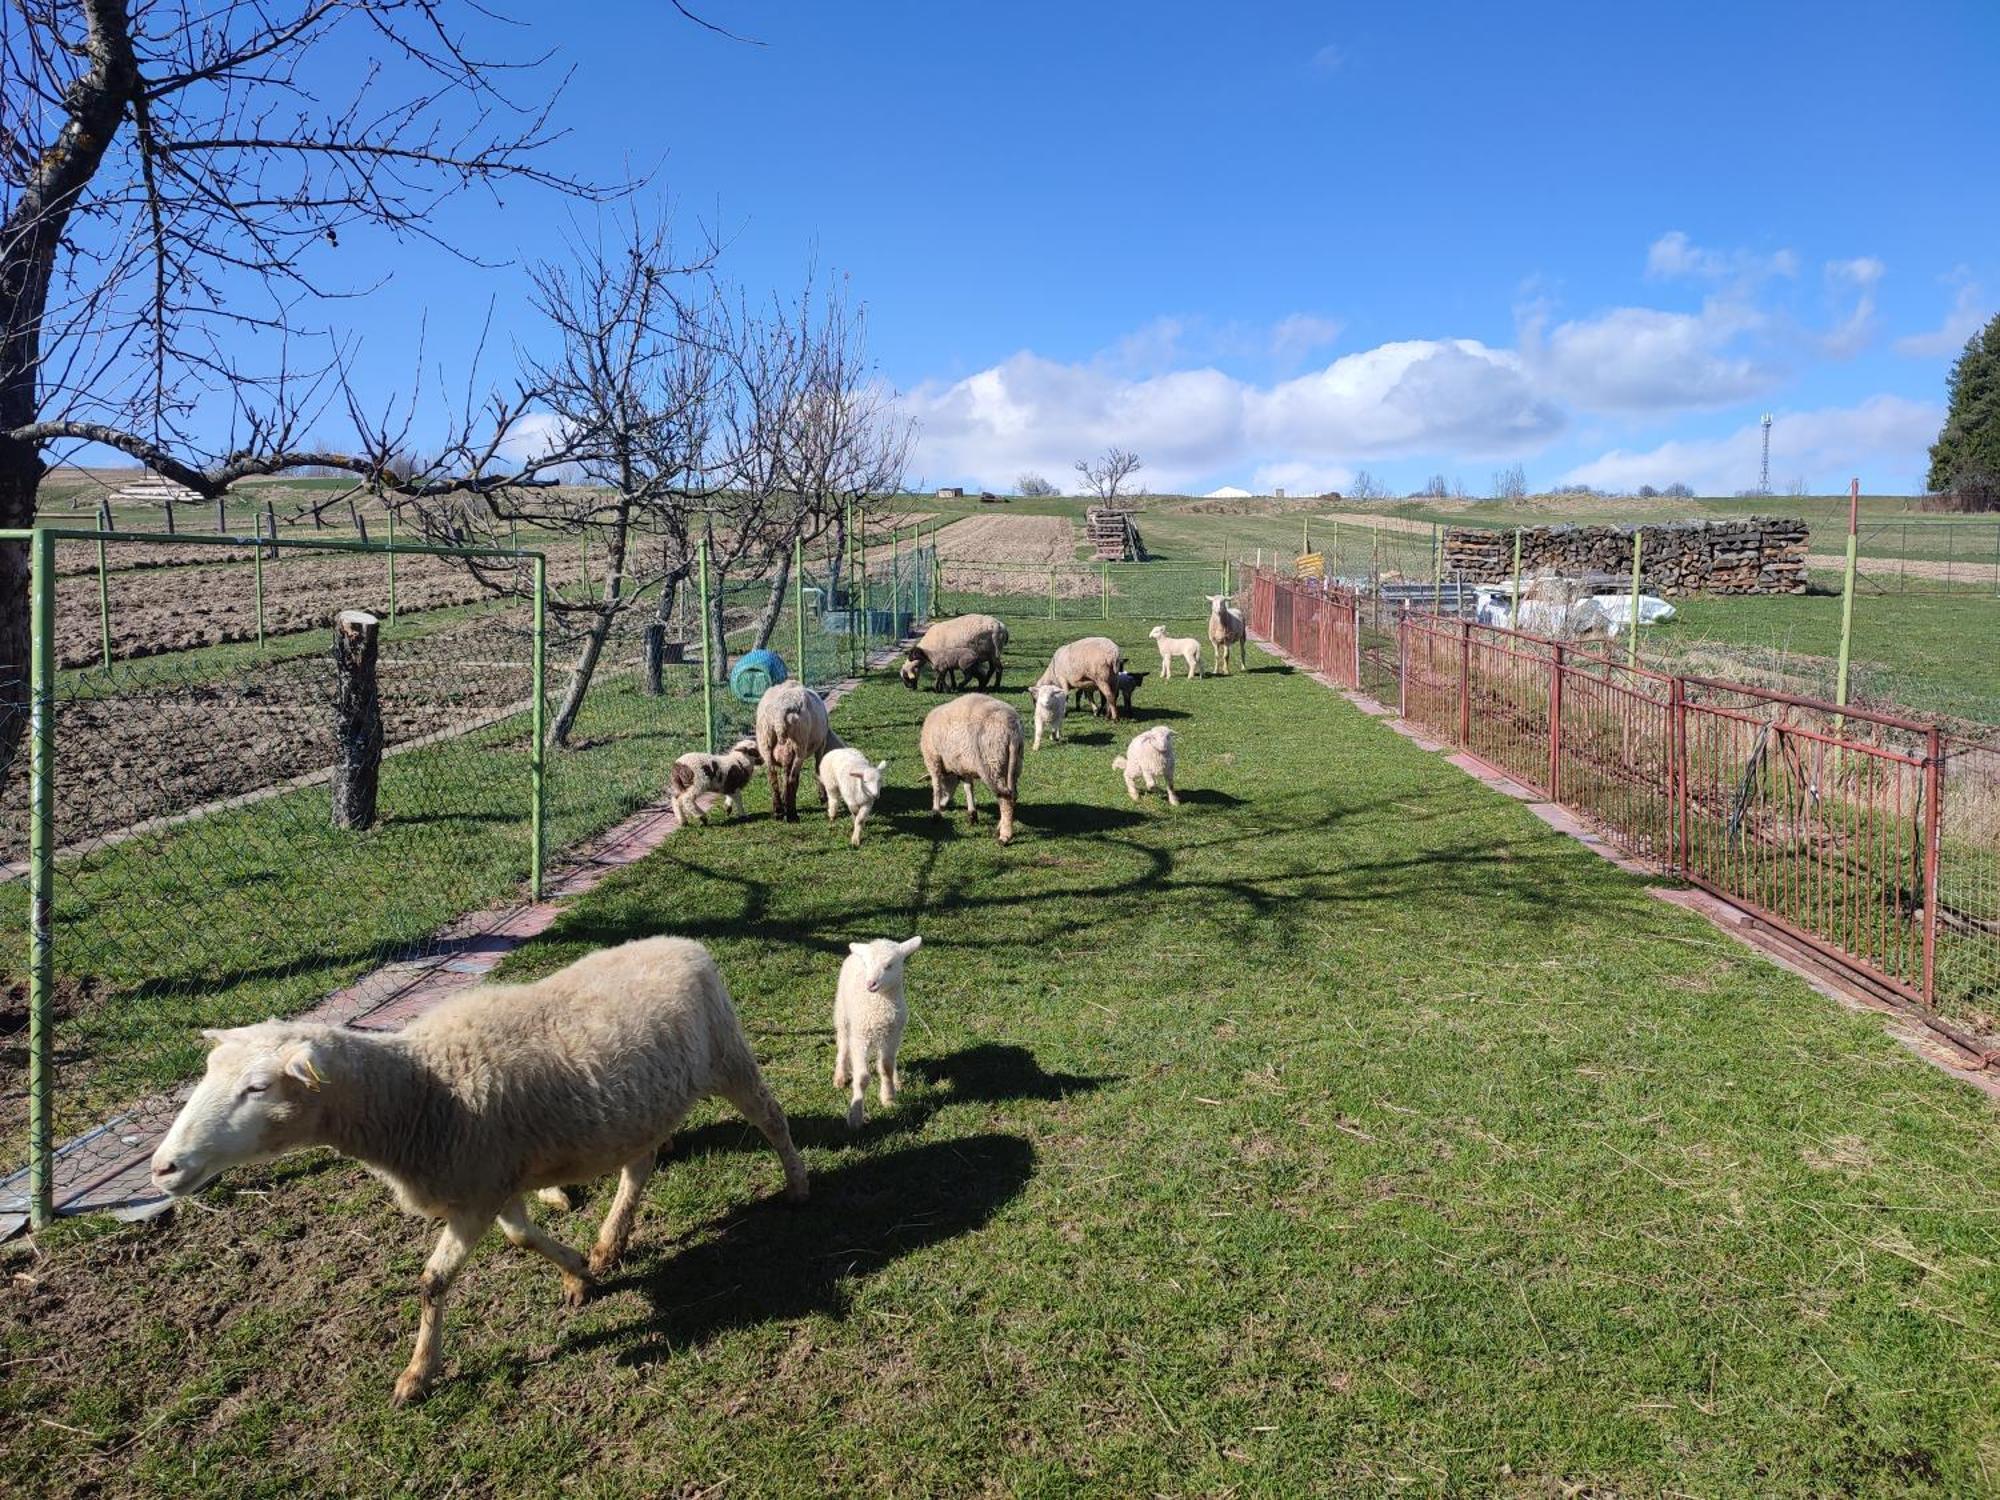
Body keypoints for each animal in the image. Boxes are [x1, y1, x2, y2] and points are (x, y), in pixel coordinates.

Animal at [146, 940, 812, 1408]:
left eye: (258, 1087)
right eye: (208, 1072)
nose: (162, 1168)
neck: (420, 1092)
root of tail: (683, 944)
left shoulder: (477, 1194)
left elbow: (435, 1281)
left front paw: (418, 1374)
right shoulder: (492, 1182)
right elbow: (516, 1239)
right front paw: (578, 1272)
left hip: (727, 1055)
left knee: (773, 1120)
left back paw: (797, 1186)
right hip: (638, 1111)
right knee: (639, 1166)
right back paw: (609, 1240)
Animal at [752, 680, 840, 824]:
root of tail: (780, 712)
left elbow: (784, 776)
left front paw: (784, 800)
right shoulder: (820, 746)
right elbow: (818, 769)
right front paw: (823, 796)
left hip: (766, 742)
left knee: (773, 778)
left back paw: (778, 811)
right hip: (799, 746)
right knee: (792, 779)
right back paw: (792, 815)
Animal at [828, 936, 920, 1136]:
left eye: (889, 965)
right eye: (867, 964)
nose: (870, 984)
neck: (879, 1005)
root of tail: (859, 948)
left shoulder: (892, 1036)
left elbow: (886, 1067)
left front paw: (889, 1098)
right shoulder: (860, 1038)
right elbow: (862, 1078)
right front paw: (855, 1117)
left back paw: (896, 1080)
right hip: (843, 1013)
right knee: (843, 1044)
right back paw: (840, 1076)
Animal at [916, 692, 1024, 848]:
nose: (943, 804)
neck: (950, 770)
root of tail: (1011, 730)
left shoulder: (933, 758)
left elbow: (936, 787)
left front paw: (936, 813)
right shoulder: (963, 765)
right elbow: (968, 787)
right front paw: (972, 814)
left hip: (992, 763)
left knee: (1005, 798)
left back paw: (1004, 836)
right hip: (1013, 765)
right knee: (1013, 795)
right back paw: (1000, 826)